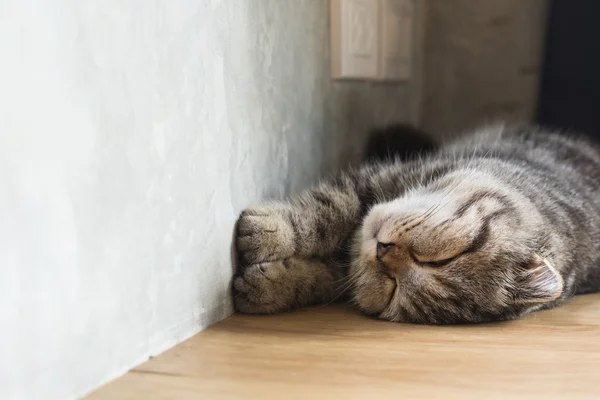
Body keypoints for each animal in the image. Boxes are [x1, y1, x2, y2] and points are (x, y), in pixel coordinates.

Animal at [232, 125, 600, 324]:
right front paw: (273, 230)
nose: (384, 251)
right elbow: (325, 211)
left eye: (393, 290)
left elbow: (317, 279)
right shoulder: (374, 180)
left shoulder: (344, 272)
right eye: (445, 258)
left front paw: (266, 286)